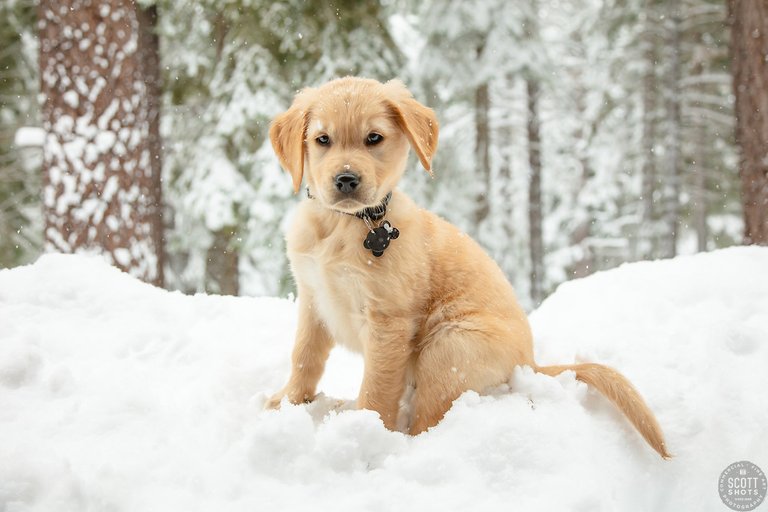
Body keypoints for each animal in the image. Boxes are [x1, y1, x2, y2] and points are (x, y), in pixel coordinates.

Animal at [264, 77, 664, 460]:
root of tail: (530, 364)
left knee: (426, 421)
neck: (344, 225)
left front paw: (363, 434)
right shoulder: (314, 298)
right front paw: (287, 402)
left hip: (447, 349)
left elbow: (377, 388)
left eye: (373, 138)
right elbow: (304, 356)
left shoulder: (387, 320)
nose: (346, 179)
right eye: (323, 140)